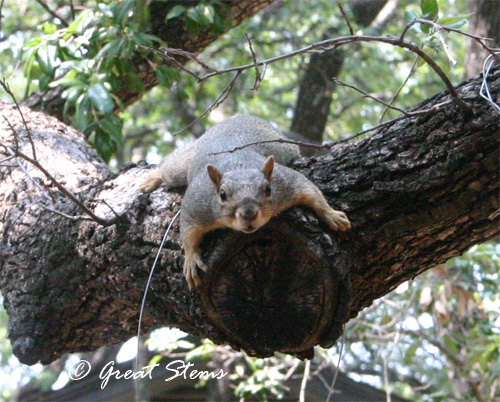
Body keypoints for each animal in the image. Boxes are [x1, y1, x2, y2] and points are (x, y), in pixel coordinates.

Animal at [141, 114, 352, 290]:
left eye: (268, 189)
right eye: (222, 194)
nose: (249, 214)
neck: (239, 165)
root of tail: (236, 117)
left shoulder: (285, 182)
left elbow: (310, 191)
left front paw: (332, 215)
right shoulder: (196, 204)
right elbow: (188, 232)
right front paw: (191, 260)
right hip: (180, 166)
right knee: (168, 166)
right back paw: (150, 179)